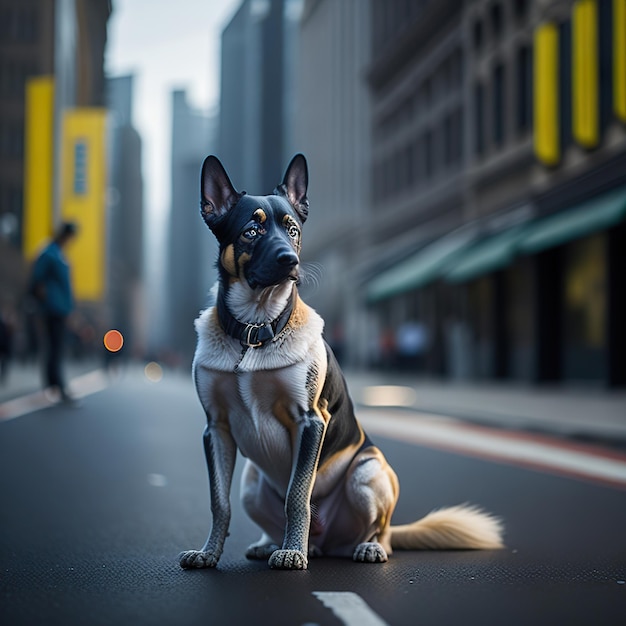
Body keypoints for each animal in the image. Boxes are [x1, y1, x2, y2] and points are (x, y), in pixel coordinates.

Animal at [177, 154, 502, 568]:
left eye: (293, 230)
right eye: (251, 230)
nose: (290, 260)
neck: (254, 330)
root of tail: (328, 542)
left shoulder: (310, 420)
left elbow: (297, 496)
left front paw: (292, 553)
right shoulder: (215, 429)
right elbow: (219, 502)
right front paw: (209, 553)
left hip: (367, 472)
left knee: (380, 531)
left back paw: (359, 546)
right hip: (251, 481)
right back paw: (274, 543)